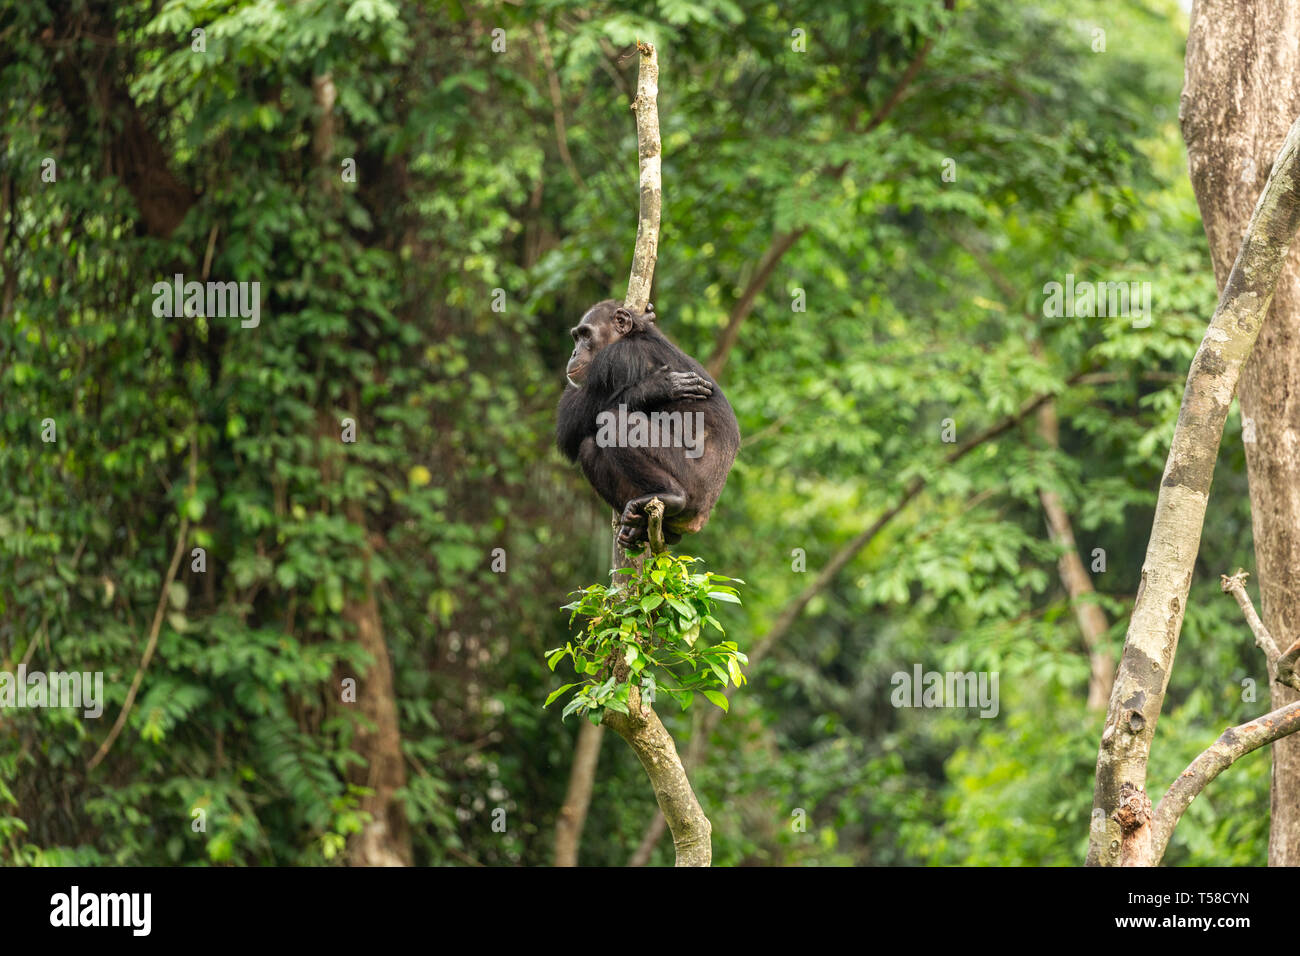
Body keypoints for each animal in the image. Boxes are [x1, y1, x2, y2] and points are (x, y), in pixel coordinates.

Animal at [556, 303, 743, 548]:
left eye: (586, 335)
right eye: (576, 337)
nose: (574, 352)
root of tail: (700, 519)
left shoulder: (614, 360)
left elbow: (570, 421)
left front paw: (653, 388)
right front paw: (659, 386)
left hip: (693, 484)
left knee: (612, 423)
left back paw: (673, 496)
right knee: (589, 447)